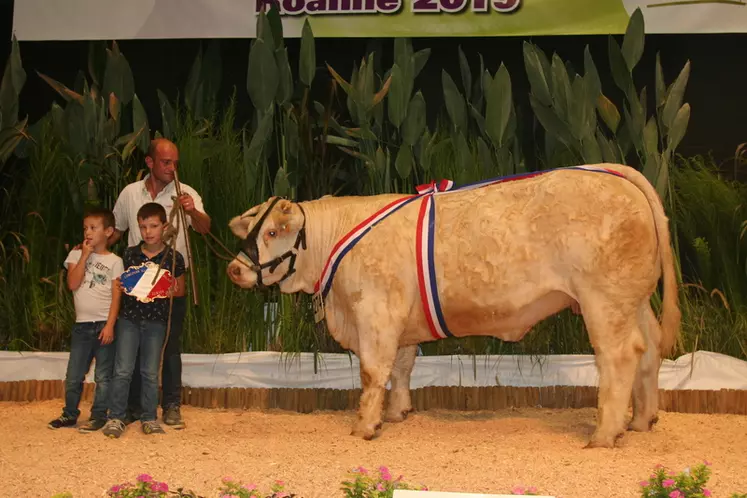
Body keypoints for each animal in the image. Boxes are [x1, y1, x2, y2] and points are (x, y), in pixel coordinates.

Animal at [225, 163, 680, 448]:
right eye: (250, 231)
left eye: (273, 232)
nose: (234, 269)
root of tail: (614, 172)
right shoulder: (401, 321)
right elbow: (402, 367)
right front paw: (398, 413)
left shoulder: (376, 312)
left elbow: (373, 372)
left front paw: (365, 427)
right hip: (634, 299)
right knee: (649, 349)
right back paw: (641, 421)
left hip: (603, 300)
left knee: (620, 356)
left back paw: (604, 434)